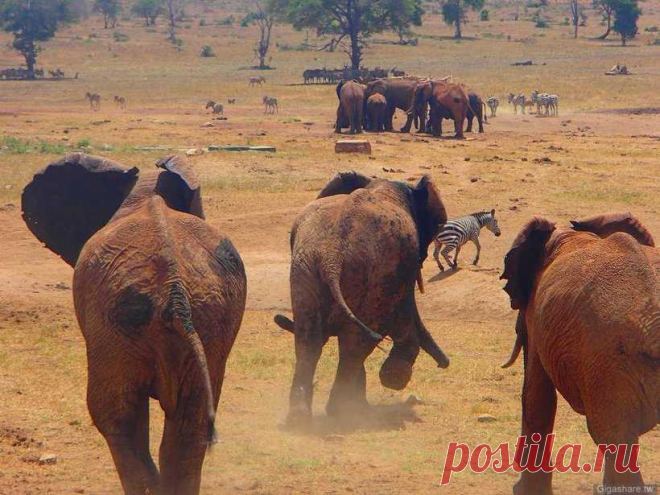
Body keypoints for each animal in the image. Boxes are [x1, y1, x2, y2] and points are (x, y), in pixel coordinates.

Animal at [270, 172, 452, 424]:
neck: (382, 185)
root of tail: (332, 256)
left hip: (305, 270)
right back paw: (341, 412)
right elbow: (403, 311)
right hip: (372, 275)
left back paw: (301, 417)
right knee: (357, 341)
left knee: (309, 338)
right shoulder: (403, 262)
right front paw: (394, 378)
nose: (444, 364)